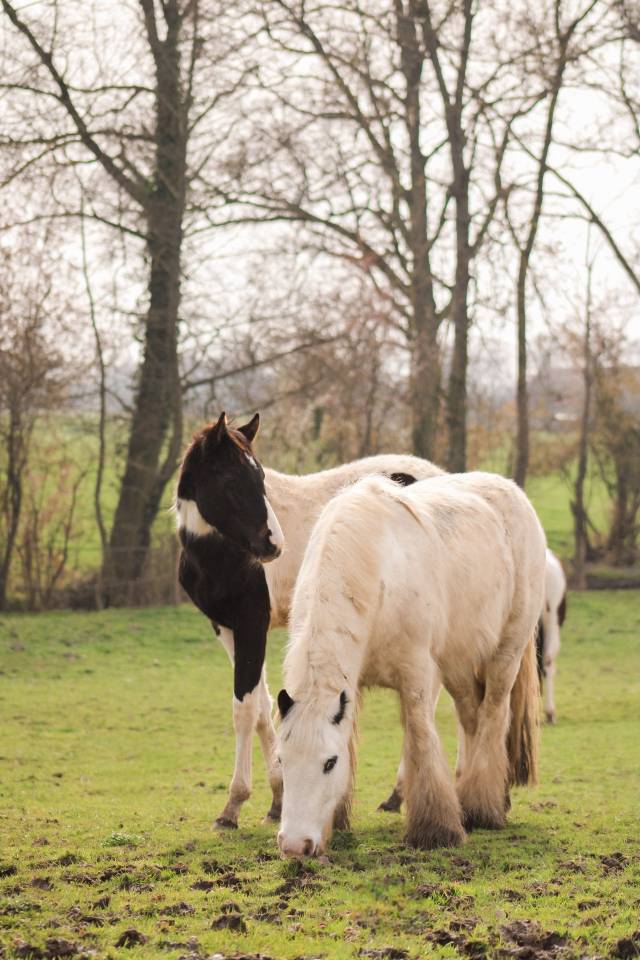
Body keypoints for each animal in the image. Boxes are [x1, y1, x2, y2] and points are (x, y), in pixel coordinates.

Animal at [175, 412, 443, 828]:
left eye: (260, 476)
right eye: (231, 479)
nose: (273, 544)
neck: (221, 552)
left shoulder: (253, 625)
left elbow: (245, 709)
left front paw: (233, 806)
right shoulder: (227, 628)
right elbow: (263, 708)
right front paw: (277, 799)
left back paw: (402, 792)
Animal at [276, 472, 546, 856]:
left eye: (329, 762)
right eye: (281, 759)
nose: (295, 845)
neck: (377, 574)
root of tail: (511, 490)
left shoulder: (417, 674)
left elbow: (420, 737)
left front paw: (436, 829)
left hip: (505, 653)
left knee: (493, 715)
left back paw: (482, 808)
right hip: (459, 668)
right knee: (472, 719)